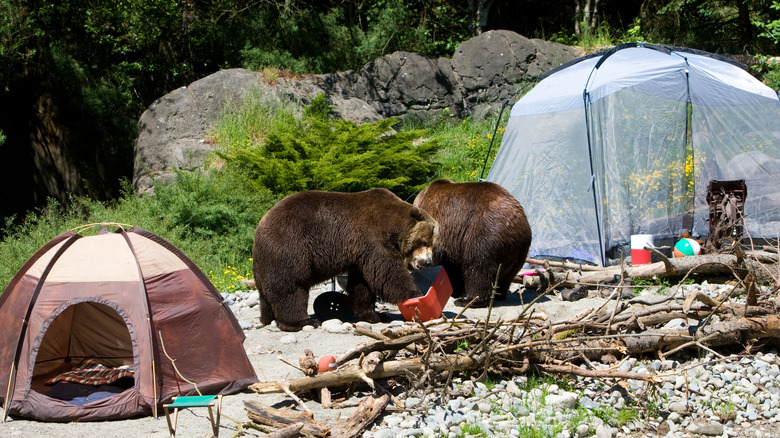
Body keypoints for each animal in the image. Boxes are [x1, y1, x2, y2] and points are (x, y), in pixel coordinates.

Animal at [254, 188, 438, 332]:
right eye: (424, 242)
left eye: (433, 244)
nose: (428, 262)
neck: (392, 226)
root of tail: (260, 227)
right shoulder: (372, 238)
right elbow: (388, 273)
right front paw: (416, 295)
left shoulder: (360, 254)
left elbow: (362, 283)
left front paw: (375, 314)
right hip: (290, 247)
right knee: (291, 287)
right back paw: (304, 321)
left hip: (266, 262)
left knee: (267, 292)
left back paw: (267, 317)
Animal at [414, 178, 532, 308]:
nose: (418, 264)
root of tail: (521, 225)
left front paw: (454, 290)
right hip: (519, 251)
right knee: (506, 276)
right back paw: (499, 294)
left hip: (485, 235)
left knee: (478, 268)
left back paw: (468, 300)